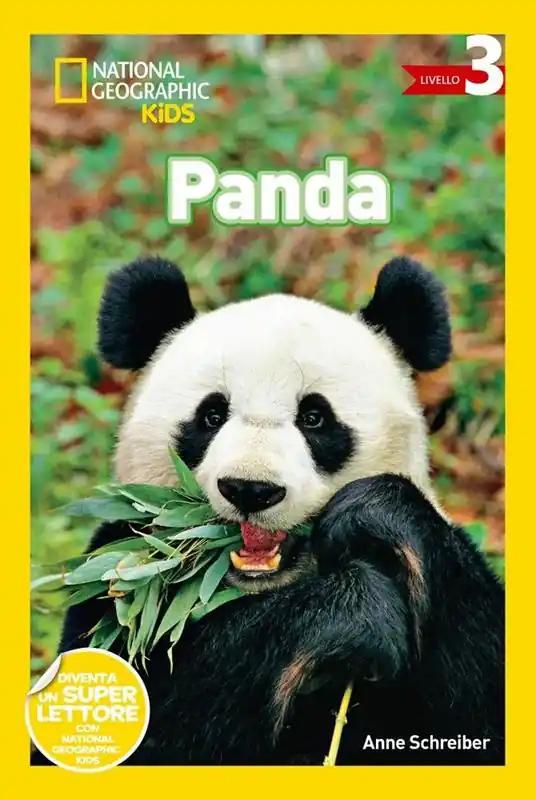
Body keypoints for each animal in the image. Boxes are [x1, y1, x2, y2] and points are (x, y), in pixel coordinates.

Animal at [37, 255, 504, 766]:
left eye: (315, 418)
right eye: (212, 415)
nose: (250, 489)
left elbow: (480, 701)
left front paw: (374, 515)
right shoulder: (120, 580)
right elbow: (159, 711)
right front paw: (356, 610)